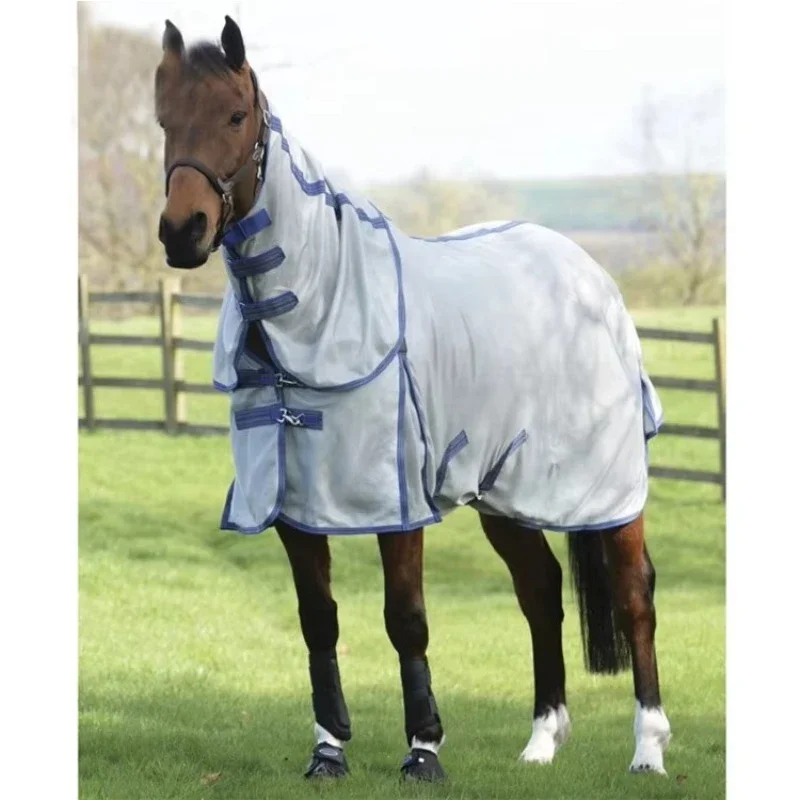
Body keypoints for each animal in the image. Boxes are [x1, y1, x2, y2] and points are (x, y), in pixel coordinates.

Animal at [154, 16, 671, 783]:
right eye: (163, 120)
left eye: (236, 115)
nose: (182, 232)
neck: (319, 308)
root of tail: (591, 277)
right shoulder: (292, 506)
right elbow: (319, 618)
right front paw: (328, 750)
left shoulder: (394, 501)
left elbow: (406, 617)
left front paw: (423, 750)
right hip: (505, 490)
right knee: (540, 591)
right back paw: (541, 742)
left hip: (607, 489)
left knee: (635, 593)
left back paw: (647, 749)